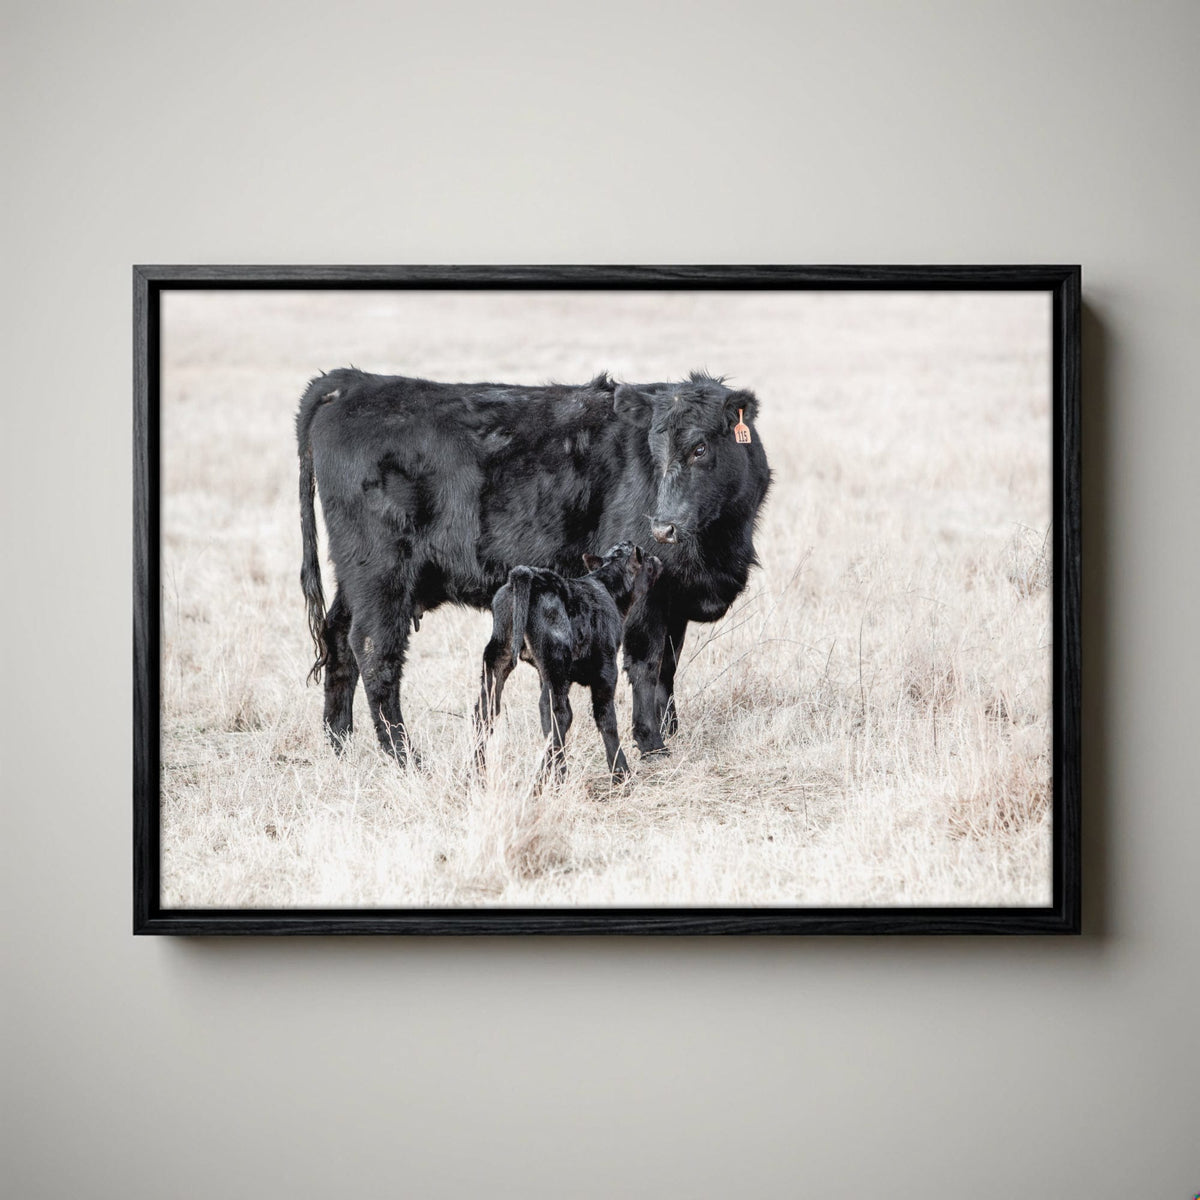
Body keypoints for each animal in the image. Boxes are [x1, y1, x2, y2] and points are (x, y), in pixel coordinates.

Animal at [474, 543, 663, 783]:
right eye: (646, 558)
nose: (658, 560)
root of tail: (529, 575)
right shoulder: (606, 668)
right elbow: (606, 717)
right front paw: (621, 773)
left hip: (501, 655)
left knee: (486, 710)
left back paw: (476, 773)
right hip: (555, 658)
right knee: (555, 712)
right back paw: (553, 776)